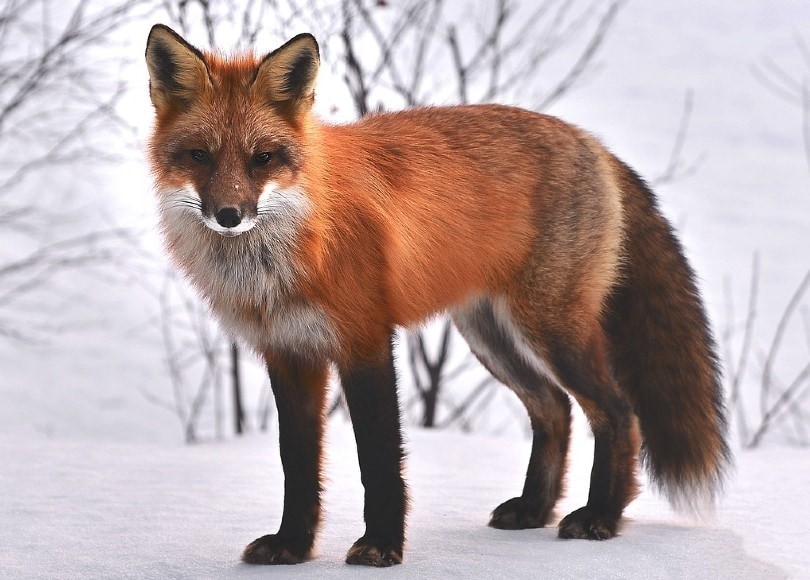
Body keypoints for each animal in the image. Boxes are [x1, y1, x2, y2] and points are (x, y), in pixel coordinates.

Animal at [145, 24, 730, 567]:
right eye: (199, 155)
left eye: (262, 158)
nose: (229, 215)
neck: (295, 244)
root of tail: (593, 143)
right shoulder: (288, 353)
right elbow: (298, 465)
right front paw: (292, 546)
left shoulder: (365, 341)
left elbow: (379, 459)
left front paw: (382, 546)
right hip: (491, 336)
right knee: (554, 409)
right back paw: (534, 509)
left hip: (551, 330)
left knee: (618, 411)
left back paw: (602, 516)